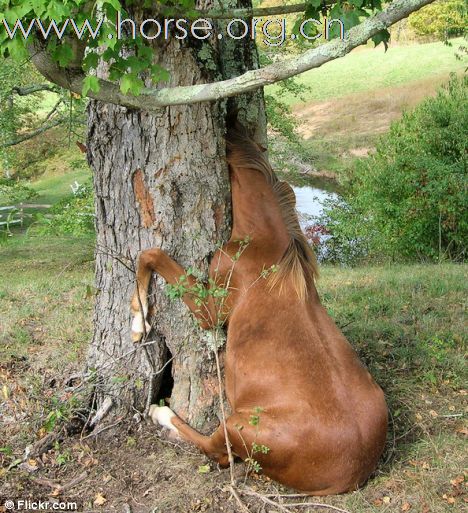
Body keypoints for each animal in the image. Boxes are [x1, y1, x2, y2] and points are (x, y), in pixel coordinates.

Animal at [130, 122, 386, 494]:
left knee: (216, 451)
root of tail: (353, 472)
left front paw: (138, 322)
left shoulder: (211, 312)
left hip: (236, 427)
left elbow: (150, 254)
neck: (266, 243)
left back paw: (160, 413)